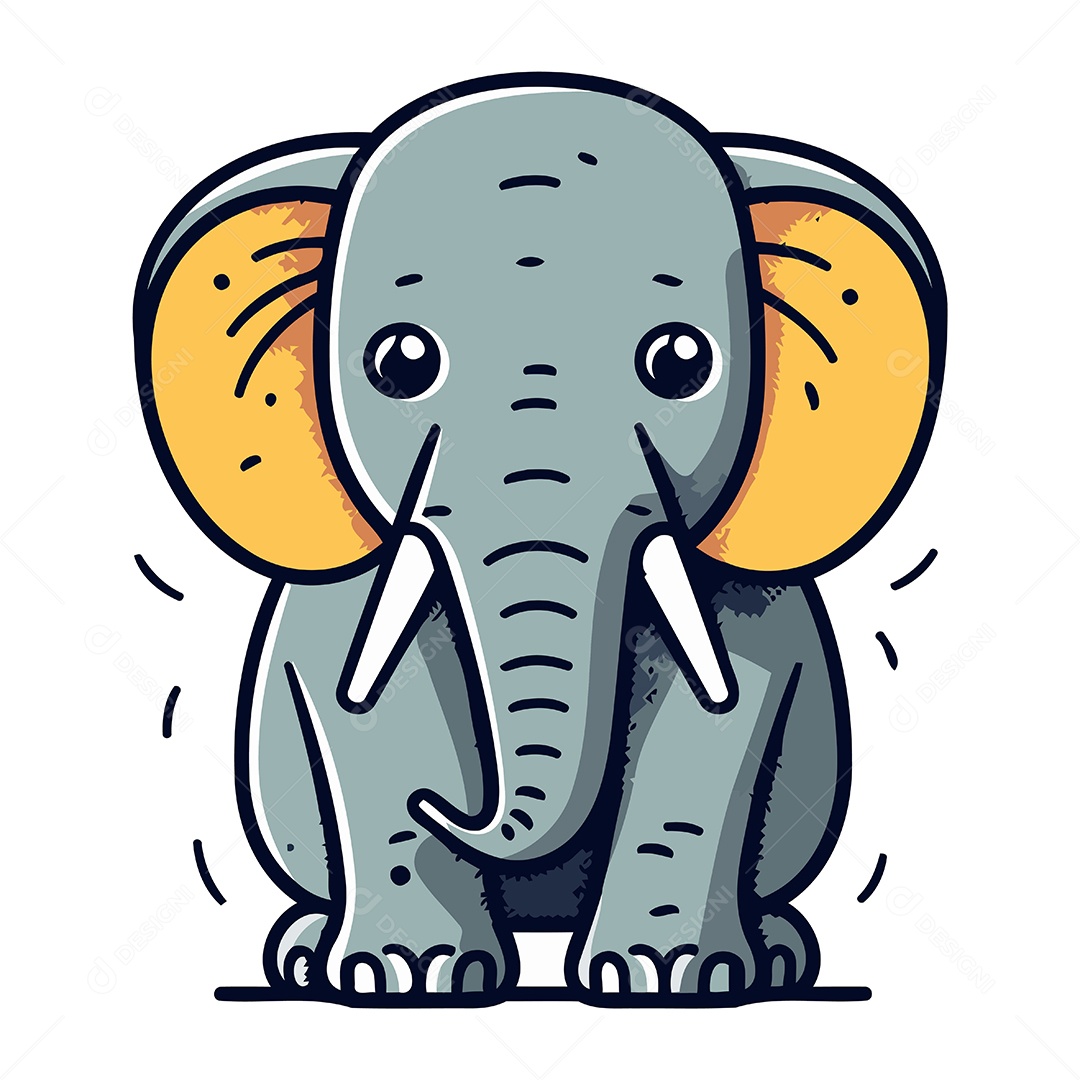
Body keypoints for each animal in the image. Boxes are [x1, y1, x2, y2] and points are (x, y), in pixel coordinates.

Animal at [134, 73, 946, 1005]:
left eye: (681, 362)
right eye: (401, 362)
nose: (447, 808)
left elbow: (718, 710)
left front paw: (663, 978)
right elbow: (376, 700)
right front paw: (409, 977)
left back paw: (777, 955)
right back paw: (305, 955)